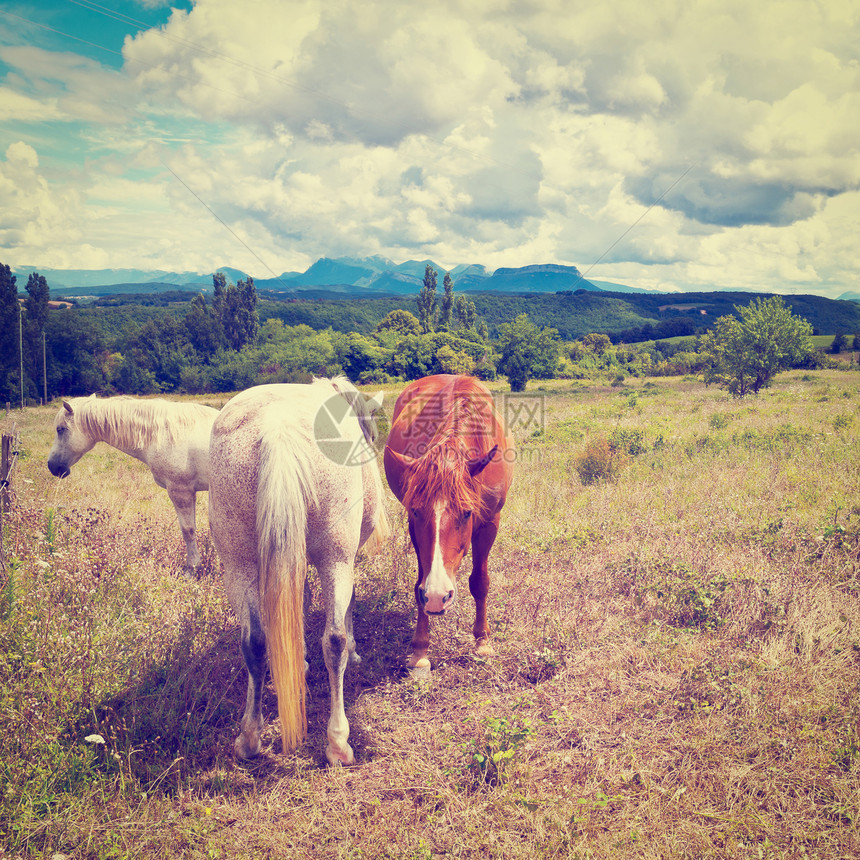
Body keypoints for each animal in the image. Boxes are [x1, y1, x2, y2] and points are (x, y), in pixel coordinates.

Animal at [47, 394, 218, 572]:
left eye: (60, 429)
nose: (52, 466)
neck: (164, 434)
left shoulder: (180, 491)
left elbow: (188, 530)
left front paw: (192, 567)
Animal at [207, 376, 386, 764]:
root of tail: (278, 426)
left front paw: (295, 663)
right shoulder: (346, 559)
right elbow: (345, 614)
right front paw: (352, 652)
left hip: (238, 563)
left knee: (254, 642)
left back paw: (250, 737)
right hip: (336, 557)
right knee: (333, 639)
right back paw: (338, 742)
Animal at [386, 372, 512, 676]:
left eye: (466, 513)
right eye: (417, 511)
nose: (437, 596)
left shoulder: (490, 522)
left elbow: (480, 582)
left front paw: (482, 642)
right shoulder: (414, 528)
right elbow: (419, 583)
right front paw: (420, 651)